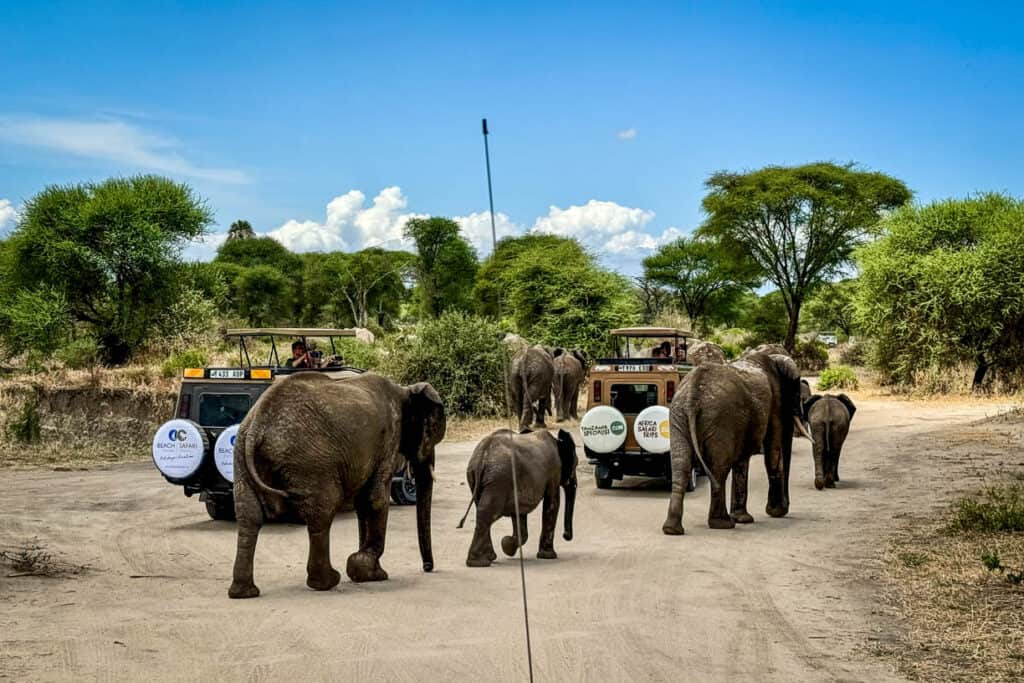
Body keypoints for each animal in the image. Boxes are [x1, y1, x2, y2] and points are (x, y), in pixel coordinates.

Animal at [228, 370, 444, 602]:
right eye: (430, 435)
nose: (428, 567)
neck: (405, 390)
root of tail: (258, 424)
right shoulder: (390, 438)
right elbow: (376, 499)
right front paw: (373, 573)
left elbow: (363, 503)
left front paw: (366, 571)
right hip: (310, 461)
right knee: (322, 513)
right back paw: (327, 581)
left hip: (240, 454)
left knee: (249, 516)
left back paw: (244, 593)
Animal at [456, 428, 577, 565]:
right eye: (575, 465)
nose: (566, 536)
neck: (557, 441)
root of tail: (482, 455)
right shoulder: (554, 471)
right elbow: (552, 503)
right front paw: (548, 556)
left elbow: (519, 511)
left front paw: (507, 546)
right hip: (499, 478)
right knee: (488, 511)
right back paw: (479, 563)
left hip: (477, 477)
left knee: (483, 511)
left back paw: (488, 558)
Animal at [659, 352, 811, 532]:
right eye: (796, 394)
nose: (785, 507)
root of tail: (693, 391)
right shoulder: (776, 401)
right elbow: (773, 451)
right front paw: (774, 512)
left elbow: (743, 459)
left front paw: (743, 518)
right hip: (719, 419)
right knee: (719, 468)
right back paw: (723, 524)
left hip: (678, 414)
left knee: (681, 466)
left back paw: (672, 529)